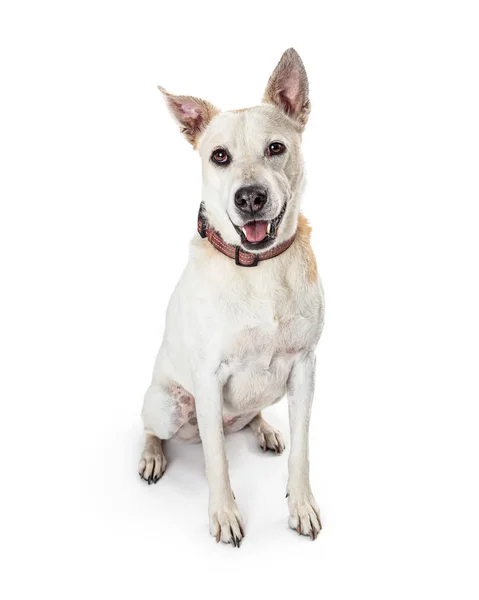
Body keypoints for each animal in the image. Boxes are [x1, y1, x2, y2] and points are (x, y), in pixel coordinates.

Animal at [139, 49, 326, 548]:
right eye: (219, 156)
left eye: (276, 148)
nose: (251, 198)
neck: (258, 270)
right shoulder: (208, 377)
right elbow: (218, 462)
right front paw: (224, 516)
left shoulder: (304, 367)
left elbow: (302, 451)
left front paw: (301, 507)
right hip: (166, 405)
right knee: (155, 429)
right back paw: (151, 456)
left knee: (251, 415)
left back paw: (264, 430)